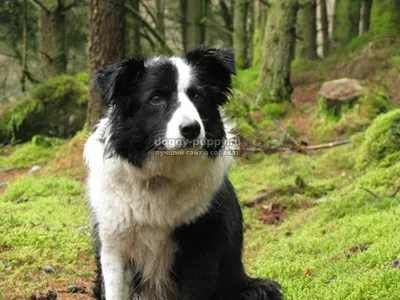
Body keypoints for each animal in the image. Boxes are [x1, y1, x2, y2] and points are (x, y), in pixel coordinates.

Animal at [84, 45, 282, 300]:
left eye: (197, 96)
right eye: (156, 99)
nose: (192, 129)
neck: (163, 174)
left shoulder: (201, 243)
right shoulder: (114, 245)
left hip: (255, 288)